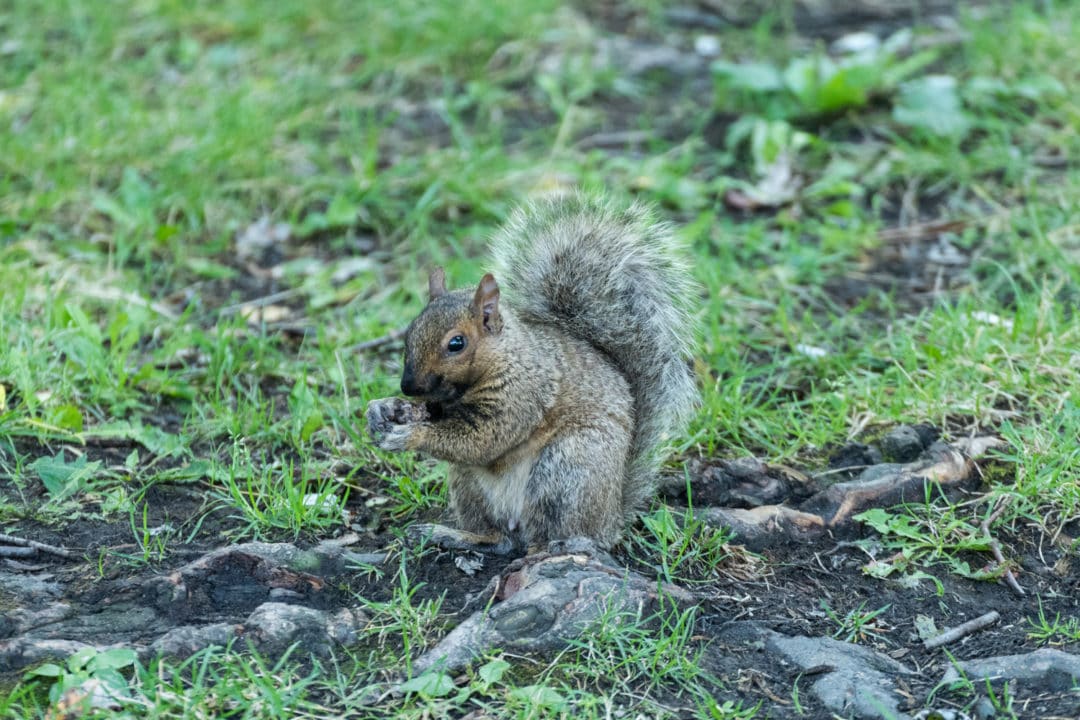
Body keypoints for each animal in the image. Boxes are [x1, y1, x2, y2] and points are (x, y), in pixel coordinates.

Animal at [365, 194, 699, 557]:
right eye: (410, 330)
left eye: (456, 343)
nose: (408, 386)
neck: (506, 357)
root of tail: (611, 518)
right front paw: (385, 409)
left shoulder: (524, 393)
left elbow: (483, 439)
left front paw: (409, 435)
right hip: (470, 487)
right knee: (500, 538)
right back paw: (453, 535)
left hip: (566, 470)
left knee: (551, 535)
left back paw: (559, 546)